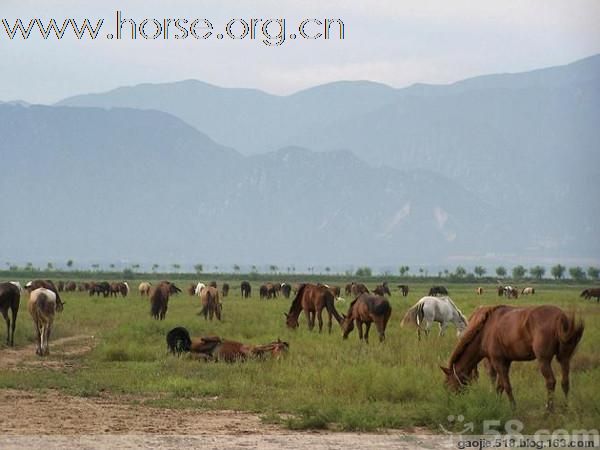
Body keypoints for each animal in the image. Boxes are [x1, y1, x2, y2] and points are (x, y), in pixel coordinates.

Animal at [438, 304, 584, 410]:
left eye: (447, 384)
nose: (449, 401)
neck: (485, 331)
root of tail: (561, 317)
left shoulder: (498, 361)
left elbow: (506, 386)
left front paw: (513, 407)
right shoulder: (505, 362)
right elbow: (500, 386)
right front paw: (496, 404)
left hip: (544, 361)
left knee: (550, 382)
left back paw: (549, 410)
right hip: (564, 358)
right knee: (565, 381)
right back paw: (566, 406)